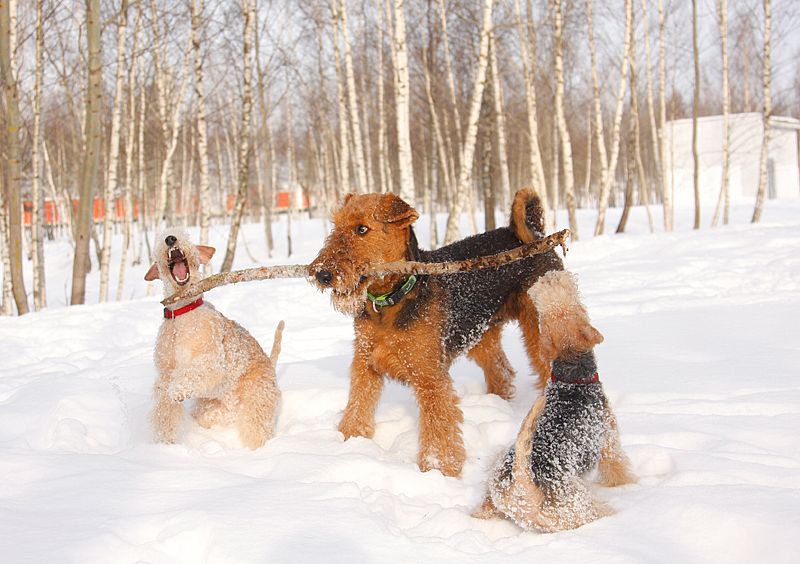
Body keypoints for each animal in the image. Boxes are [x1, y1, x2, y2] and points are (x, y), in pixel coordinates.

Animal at [145, 229, 282, 450]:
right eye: (161, 236)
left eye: (186, 235)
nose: (171, 238)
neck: (181, 314)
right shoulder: (165, 373)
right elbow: (164, 407)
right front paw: (164, 441)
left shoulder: (212, 361)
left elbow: (194, 373)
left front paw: (178, 390)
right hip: (208, 410)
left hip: (257, 402)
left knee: (258, 431)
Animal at [306, 189, 564, 476]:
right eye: (335, 226)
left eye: (361, 229)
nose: (322, 274)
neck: (391, 299)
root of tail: (537, 234)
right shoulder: (365, 364)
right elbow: (357, 406)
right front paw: (347, 442)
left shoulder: (429, 378)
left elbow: (438, 429)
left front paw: (440, 471)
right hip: (478, 334)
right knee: (502, 371)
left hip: (539, 328)